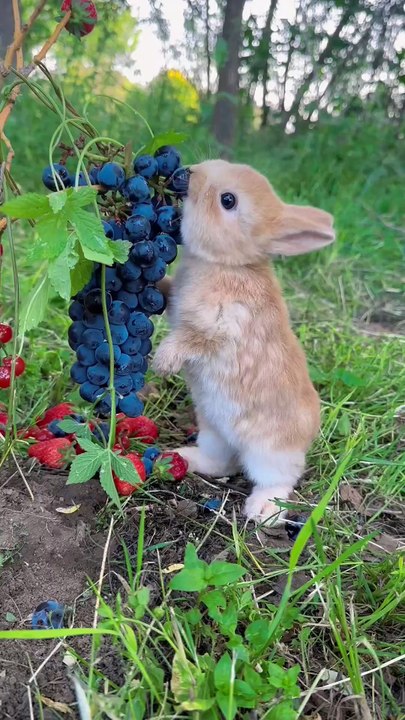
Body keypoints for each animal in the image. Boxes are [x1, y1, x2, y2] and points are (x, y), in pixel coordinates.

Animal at [153, 159, 335, 524]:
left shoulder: (221, 325)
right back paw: (182, 456)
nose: (189, 172)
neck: (226, 263)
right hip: (213, 431)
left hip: (269, 451)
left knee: (279, 478)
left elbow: (191, 340)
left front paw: (162, 362)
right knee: (221, 462)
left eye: (228, 200)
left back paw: (263, 510)